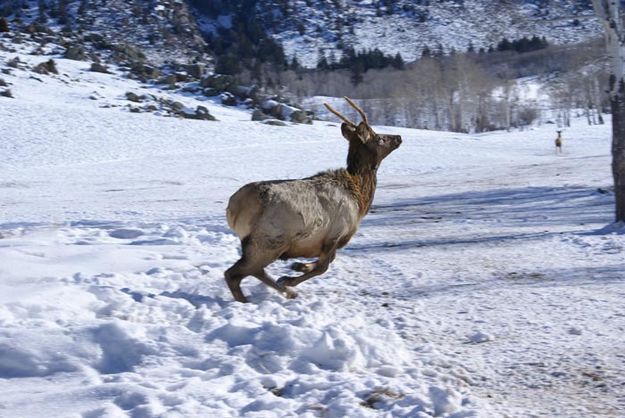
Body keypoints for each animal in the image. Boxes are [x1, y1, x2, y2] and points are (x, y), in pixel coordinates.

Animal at [222, 96, 402, 302]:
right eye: (380, 138)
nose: (398, 137)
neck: (360, 198)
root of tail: (232, 209)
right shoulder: (336, 232)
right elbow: (324, 266)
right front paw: (289, 278)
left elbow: (325, 260)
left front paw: (298, 266)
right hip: (269, 241)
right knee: (234, 273)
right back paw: (263, 296)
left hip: (262, 245)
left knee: (252, 271)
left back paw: (283, 291)